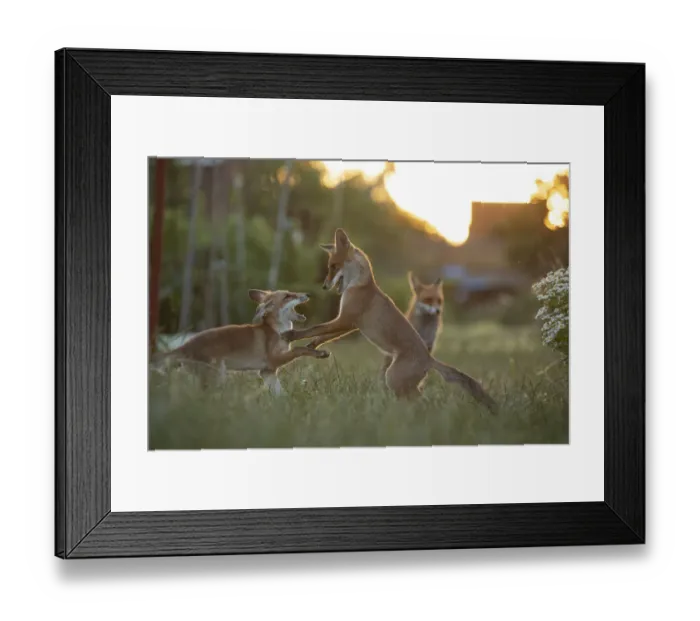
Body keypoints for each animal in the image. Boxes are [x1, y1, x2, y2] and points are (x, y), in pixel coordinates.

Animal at [151, 289, 329, 395]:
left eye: (291, 293)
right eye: (287, 296)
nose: (307, 294)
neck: (276, 331)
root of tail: (184, 345)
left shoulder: (267, 371)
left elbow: (281, 395)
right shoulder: (274, 360)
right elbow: (300, 350)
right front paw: (319, 353)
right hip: (218, 377)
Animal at [281, 228, 497, 412]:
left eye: (334, 267)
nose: (324, 287)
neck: (360, 285)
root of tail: (429, 358)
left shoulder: (346, 319)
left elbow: (314, 328)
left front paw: (292, 335)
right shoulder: (349, 324)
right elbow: (322, 336)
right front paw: (312, 348)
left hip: (392, 377)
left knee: (421, 400)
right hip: (398, 380)